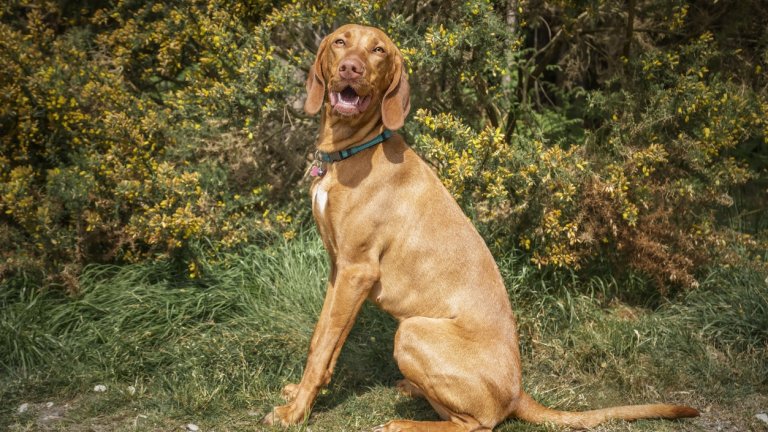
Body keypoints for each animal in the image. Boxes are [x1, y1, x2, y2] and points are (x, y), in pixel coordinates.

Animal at [260, 24, 700, 432]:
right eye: (340, 42)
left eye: (378, 50)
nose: (351, 68)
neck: (352, 150)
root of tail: (518, 393)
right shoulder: (340, 269)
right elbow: (323, 340)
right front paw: (302, 395)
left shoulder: (357, 269)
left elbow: (322, 348)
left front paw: (294, 412)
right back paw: (410, 390)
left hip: (413, 331)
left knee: (477, 423)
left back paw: (404, 422)